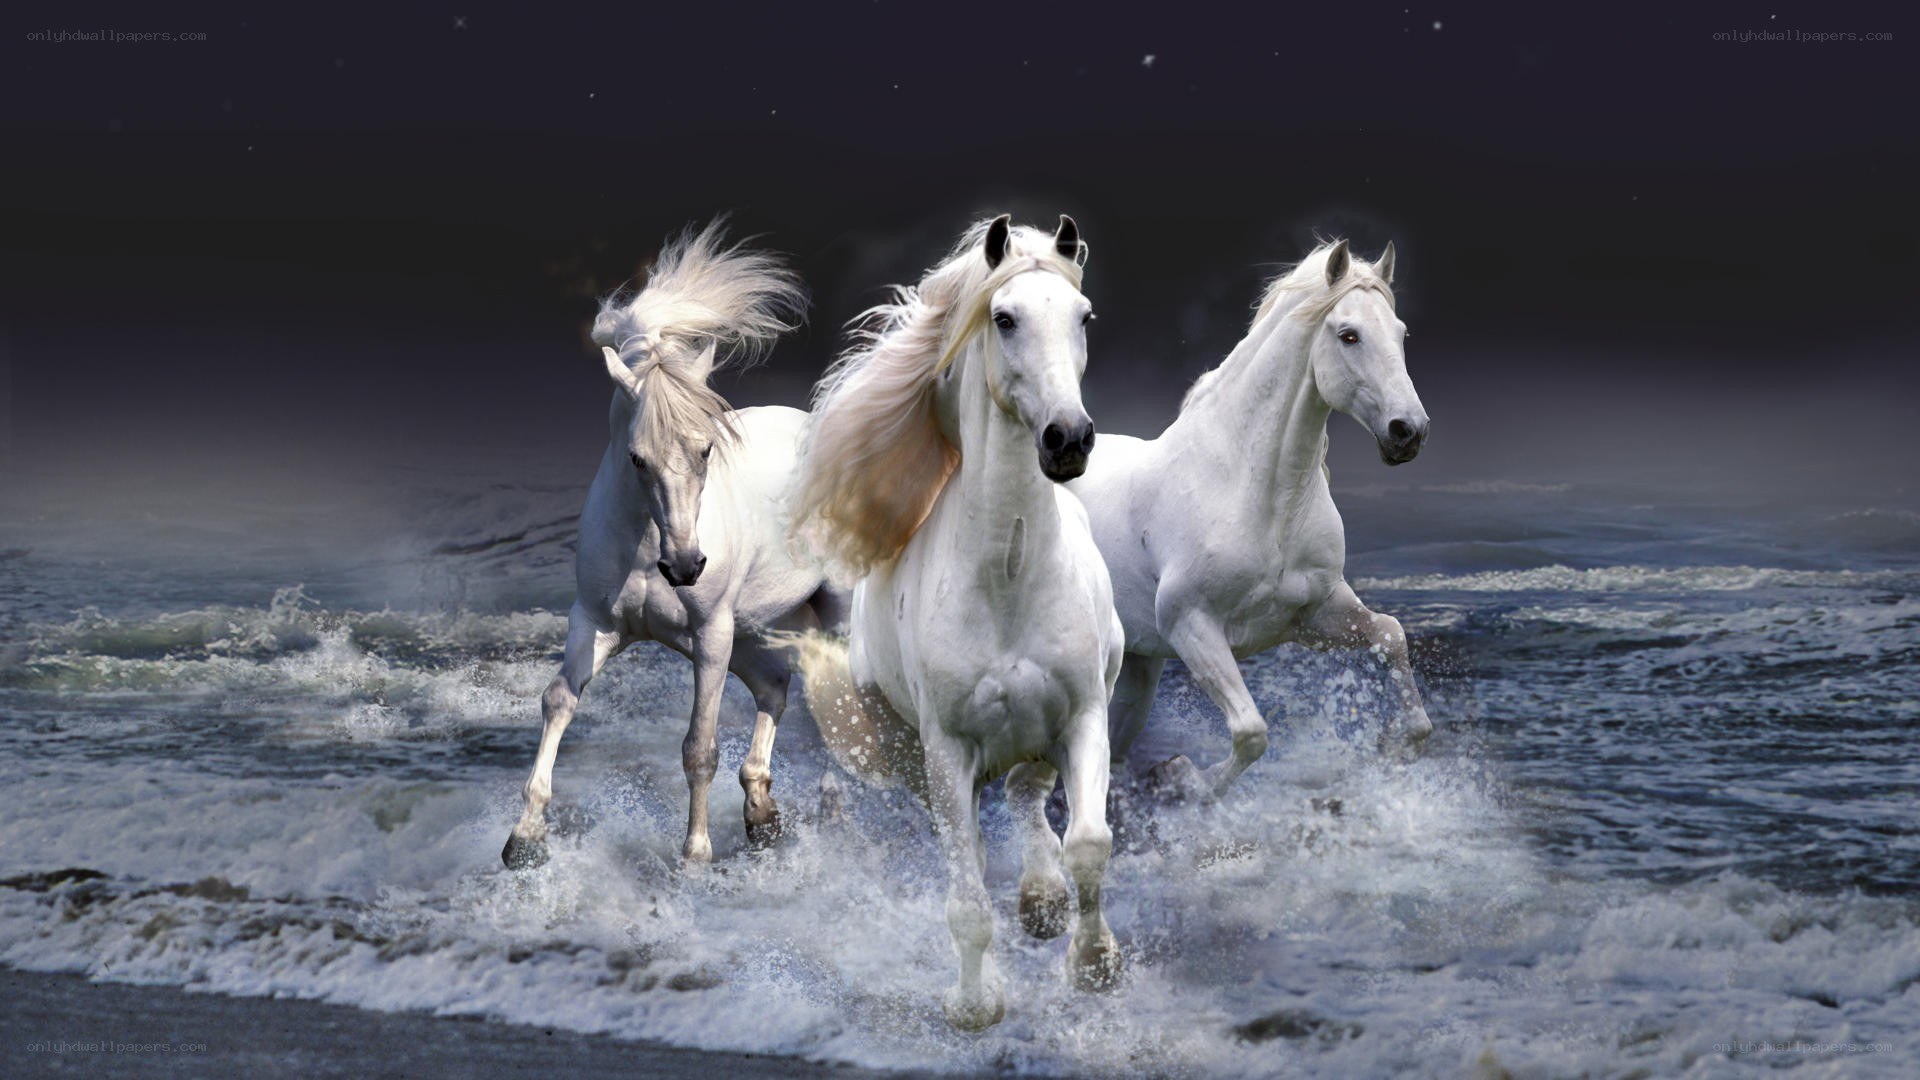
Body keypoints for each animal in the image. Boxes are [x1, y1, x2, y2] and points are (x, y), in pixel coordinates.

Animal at [502, 221, 847, 871]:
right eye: (637, 458)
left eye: (706, 448)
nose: (686, 566)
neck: (645, 547)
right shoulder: (597, 622)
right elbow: (558, 700)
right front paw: (523, 839)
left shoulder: (709, 634)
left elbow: (699, 746)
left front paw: (695, 858)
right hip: (753, 629)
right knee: (776, 686)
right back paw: (762, 814)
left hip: (825, 614)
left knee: (840, 701)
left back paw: (830, 809)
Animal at [790, 215, 1125, 1031]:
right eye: (1003, 318)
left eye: (1084, 317)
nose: (1068, 439)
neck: (1008, 576)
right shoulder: (946, 752)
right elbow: (967, 897)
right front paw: (976, 1005)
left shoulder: (1083, 716)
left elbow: (1089, 844)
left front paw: (1093, 965)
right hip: (913, 753)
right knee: (979, 827)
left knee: (1029, 794)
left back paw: (1042, 901)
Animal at [1066, 239, 1433, 800]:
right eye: (1349, 335)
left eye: (1400, 333)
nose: (1408, 431)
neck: (1258, 496)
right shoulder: (1192, 626)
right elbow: (1251, 732)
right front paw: (1182, 778)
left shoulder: (1315, 615)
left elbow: (1391, 637)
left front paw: (1390, 749)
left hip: (1137, 670)